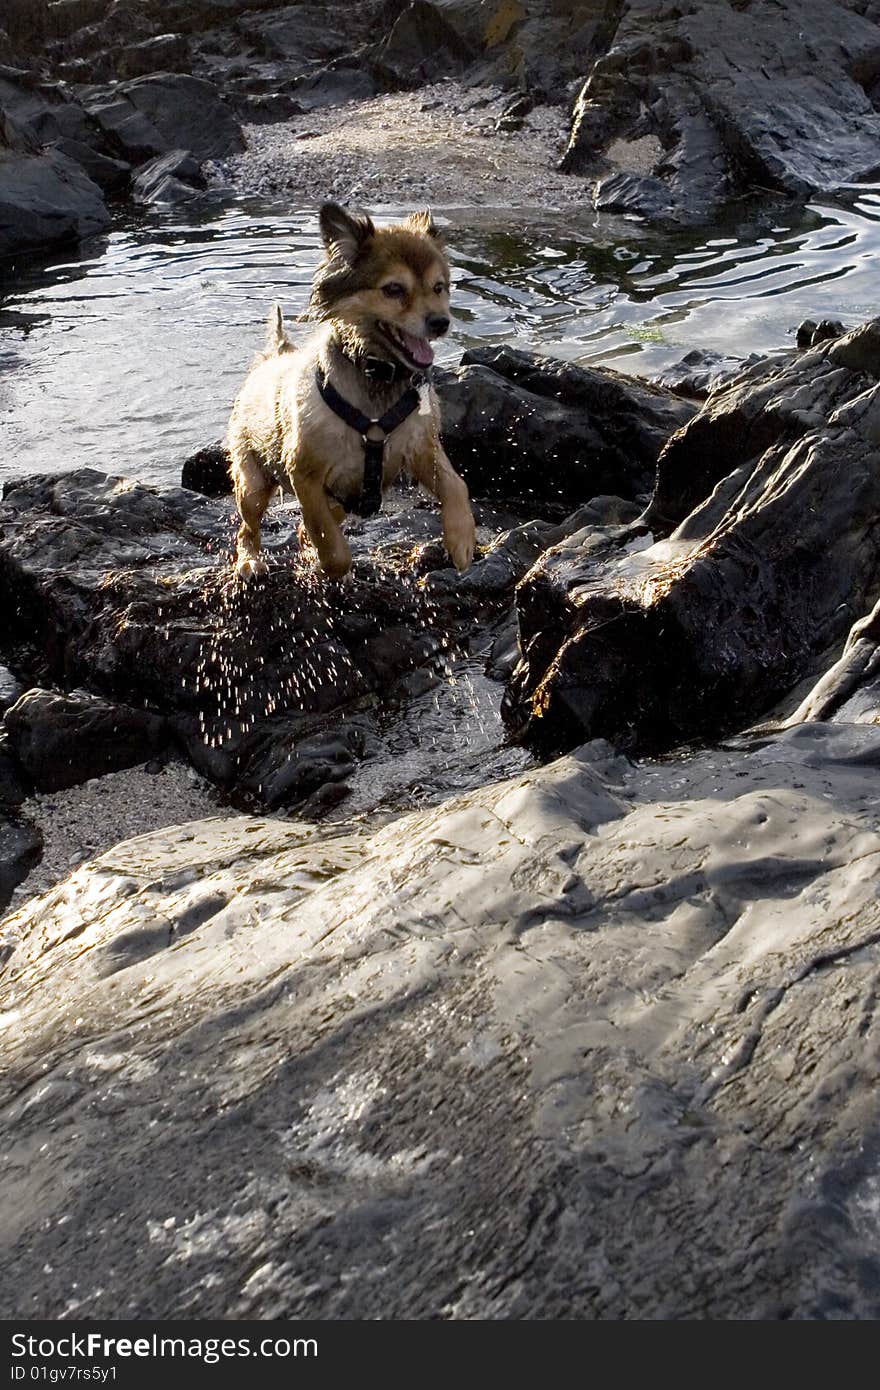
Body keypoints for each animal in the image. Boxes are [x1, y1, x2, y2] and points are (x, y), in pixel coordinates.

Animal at [225, 198, 472, 578]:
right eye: (394, 289)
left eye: (439, 287)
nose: (440, 322)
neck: (377, 375)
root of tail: (275, 355)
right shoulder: (305, 475)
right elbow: (330, 544)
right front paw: (327, 562)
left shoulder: (422, 448)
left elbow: (456, 484)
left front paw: (462, 539)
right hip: (253, 482)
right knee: (249, 526)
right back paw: (250, 560)